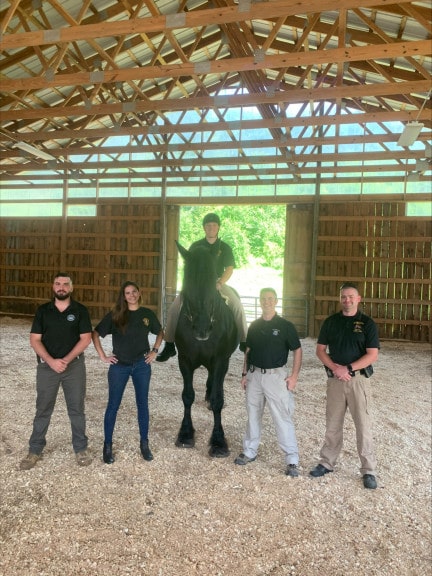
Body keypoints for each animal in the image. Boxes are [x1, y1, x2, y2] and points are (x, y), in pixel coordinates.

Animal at [174, 241, 238, 456]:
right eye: (187, 285)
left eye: (212, 285)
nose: (202, 329)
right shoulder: (184, 359)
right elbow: (187, 396)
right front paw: (186, 433)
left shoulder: (219, 360)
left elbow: (218, 399)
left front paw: (218, 441)